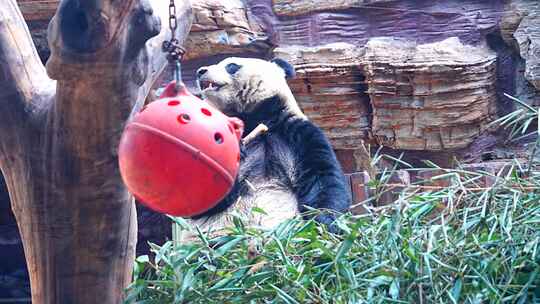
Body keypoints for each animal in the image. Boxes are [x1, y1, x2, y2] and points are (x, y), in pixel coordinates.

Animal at [179, 57, 352, 240]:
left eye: (231, 65)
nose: (200, 71)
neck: (252, 118)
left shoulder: (295, 132)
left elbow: (323, 176)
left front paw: (325, 223)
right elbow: (199, 196)